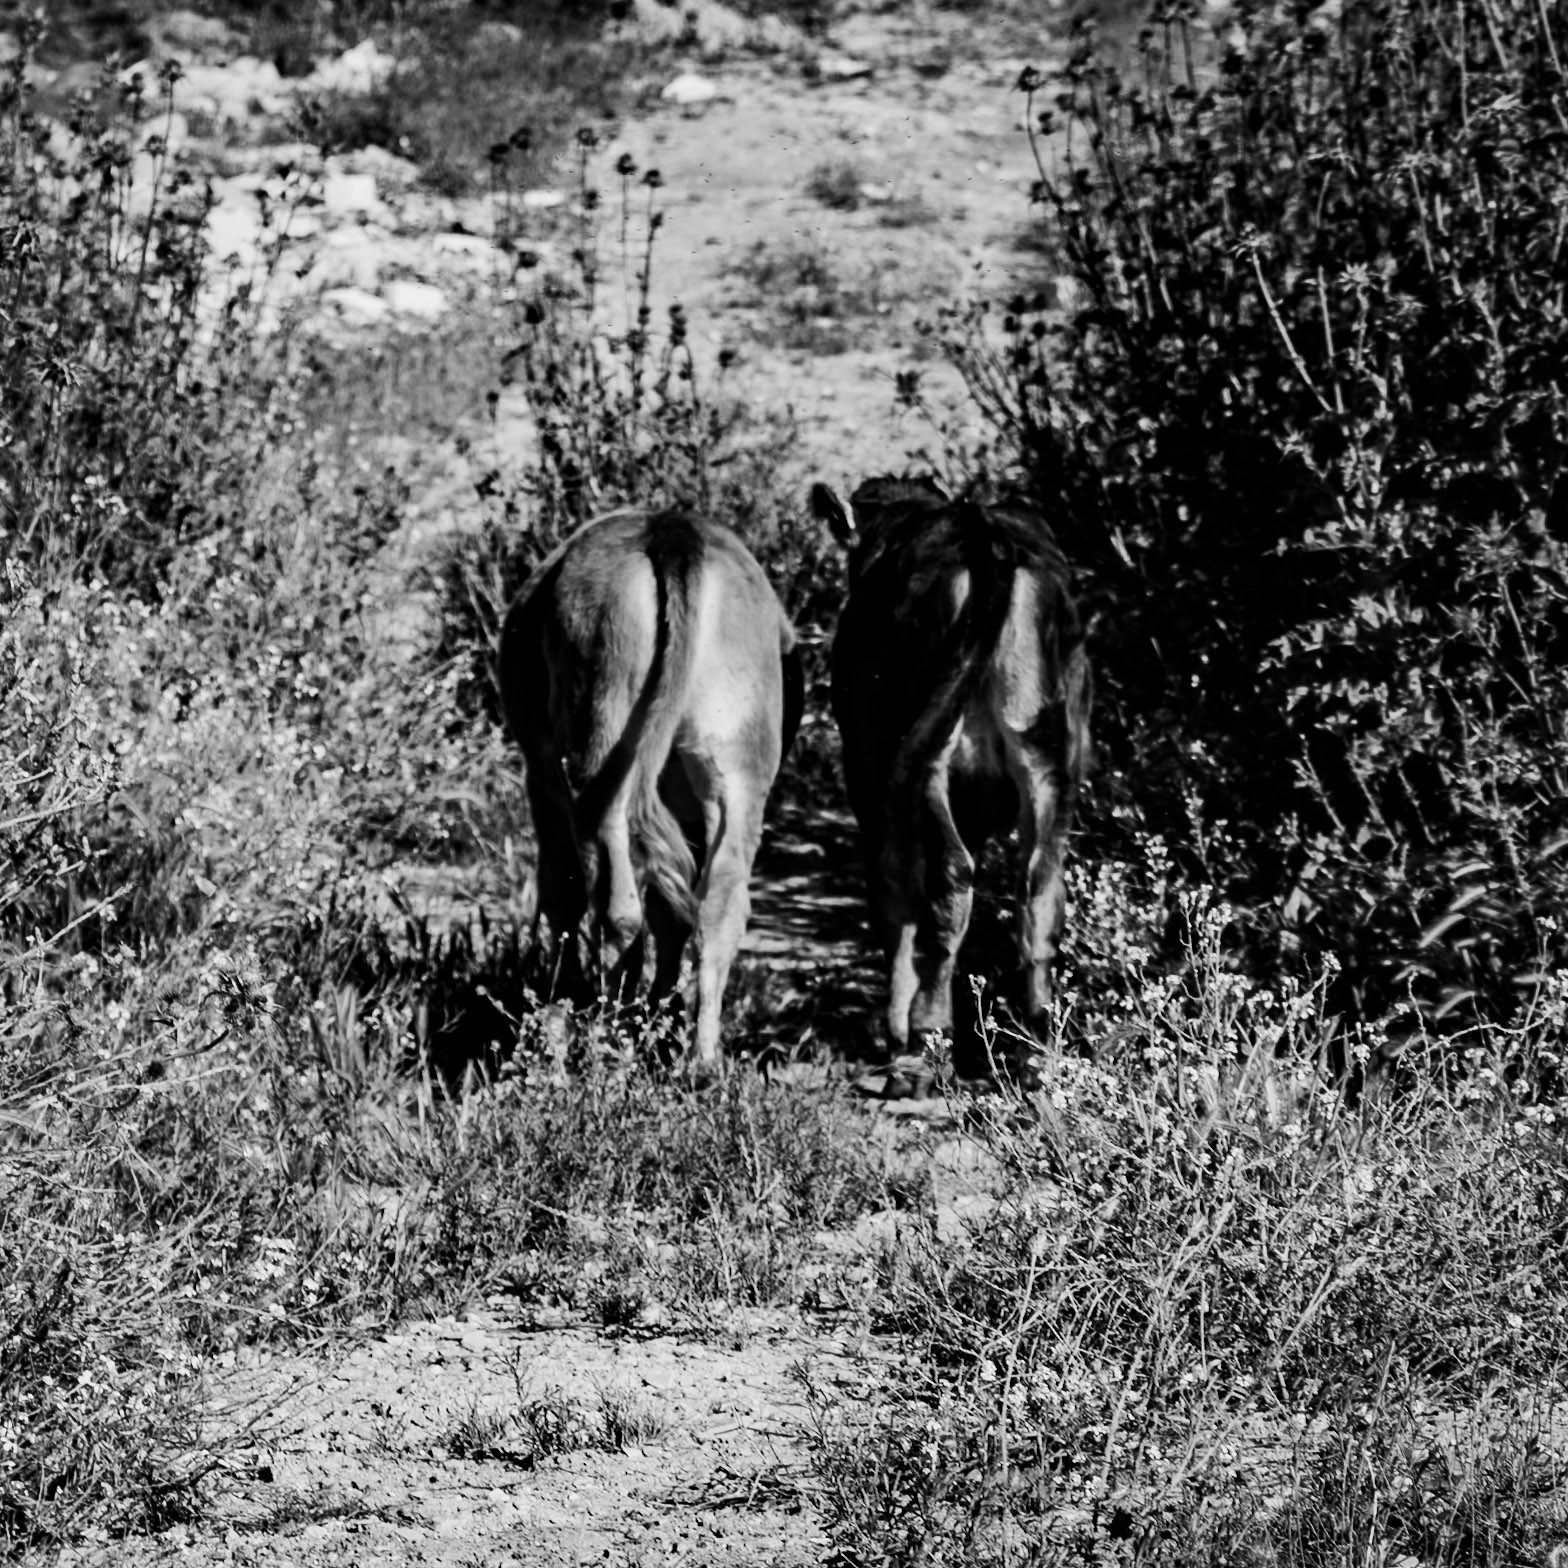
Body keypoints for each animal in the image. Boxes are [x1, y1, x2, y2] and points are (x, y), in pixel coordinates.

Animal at [498, 506, 803, 1072]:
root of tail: (671, 531)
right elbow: (672, 914)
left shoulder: (541, 779)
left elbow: (562, 894)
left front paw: (560, 1007)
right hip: (736, 768)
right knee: (717, 906)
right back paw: (699, 1059)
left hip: (599, 759)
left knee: (617, 905)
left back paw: (611, 1039)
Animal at [810, 474, 1091, 1063]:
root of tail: (982, 535)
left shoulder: (866, 773)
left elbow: (893, 886)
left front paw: (896, 1021)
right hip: (1047, 752)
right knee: (1040, 882)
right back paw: (1037, 1035)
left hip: (925, 759)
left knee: (947, 877)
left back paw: (929, 1023)